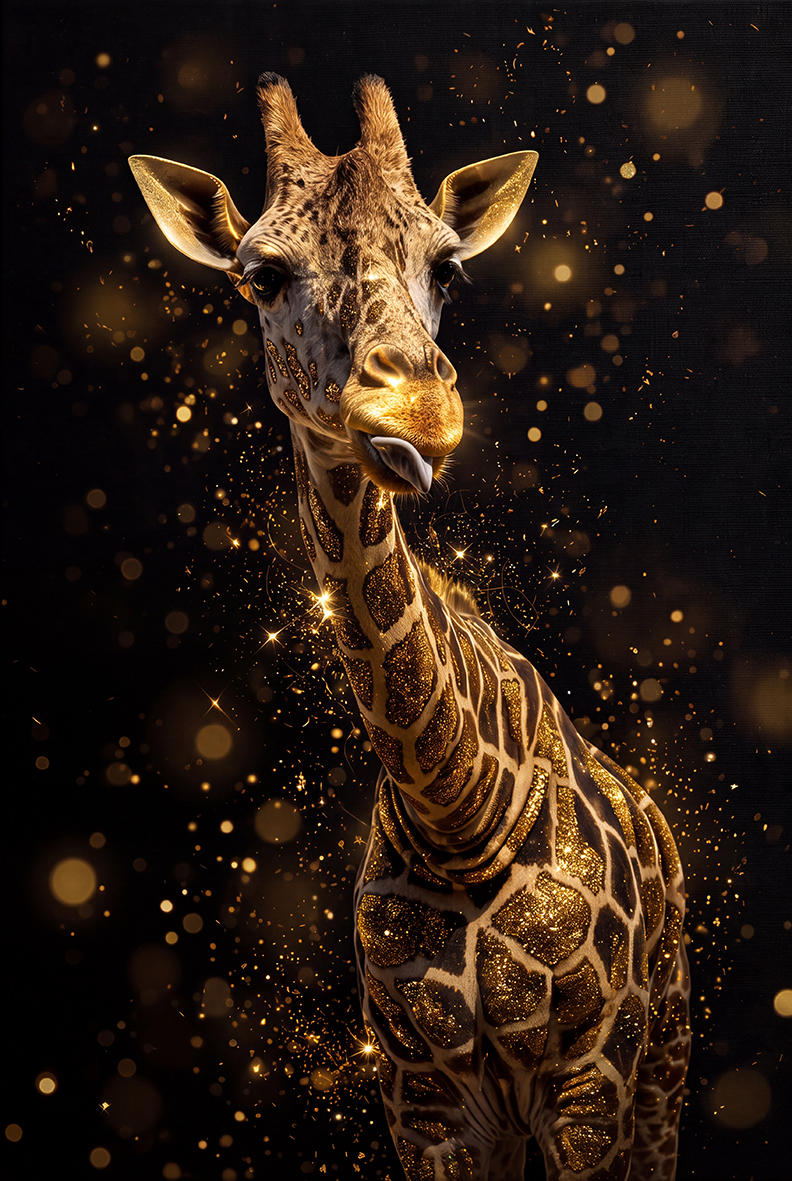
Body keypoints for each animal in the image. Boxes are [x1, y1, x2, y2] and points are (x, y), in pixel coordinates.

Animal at [129, 74, 690, 1181]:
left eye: (450, 265)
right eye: (260, 275)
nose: (417, 413)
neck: (461, 811)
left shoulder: (592, 1084)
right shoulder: (425, 1099)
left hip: (665, 1061)